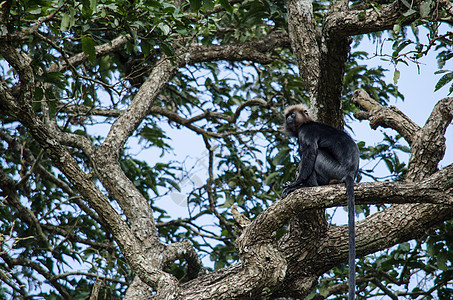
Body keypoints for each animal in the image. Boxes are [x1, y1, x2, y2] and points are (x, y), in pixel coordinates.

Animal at [280, 103, 358, 300]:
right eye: (287, 116)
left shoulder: (306, 133)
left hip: (333, 169)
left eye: (293, 115)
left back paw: (308, 186)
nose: (289, 119)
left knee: (315, 154)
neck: (306, 123)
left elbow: (309, 154)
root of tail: (350, 173)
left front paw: (295, 185)